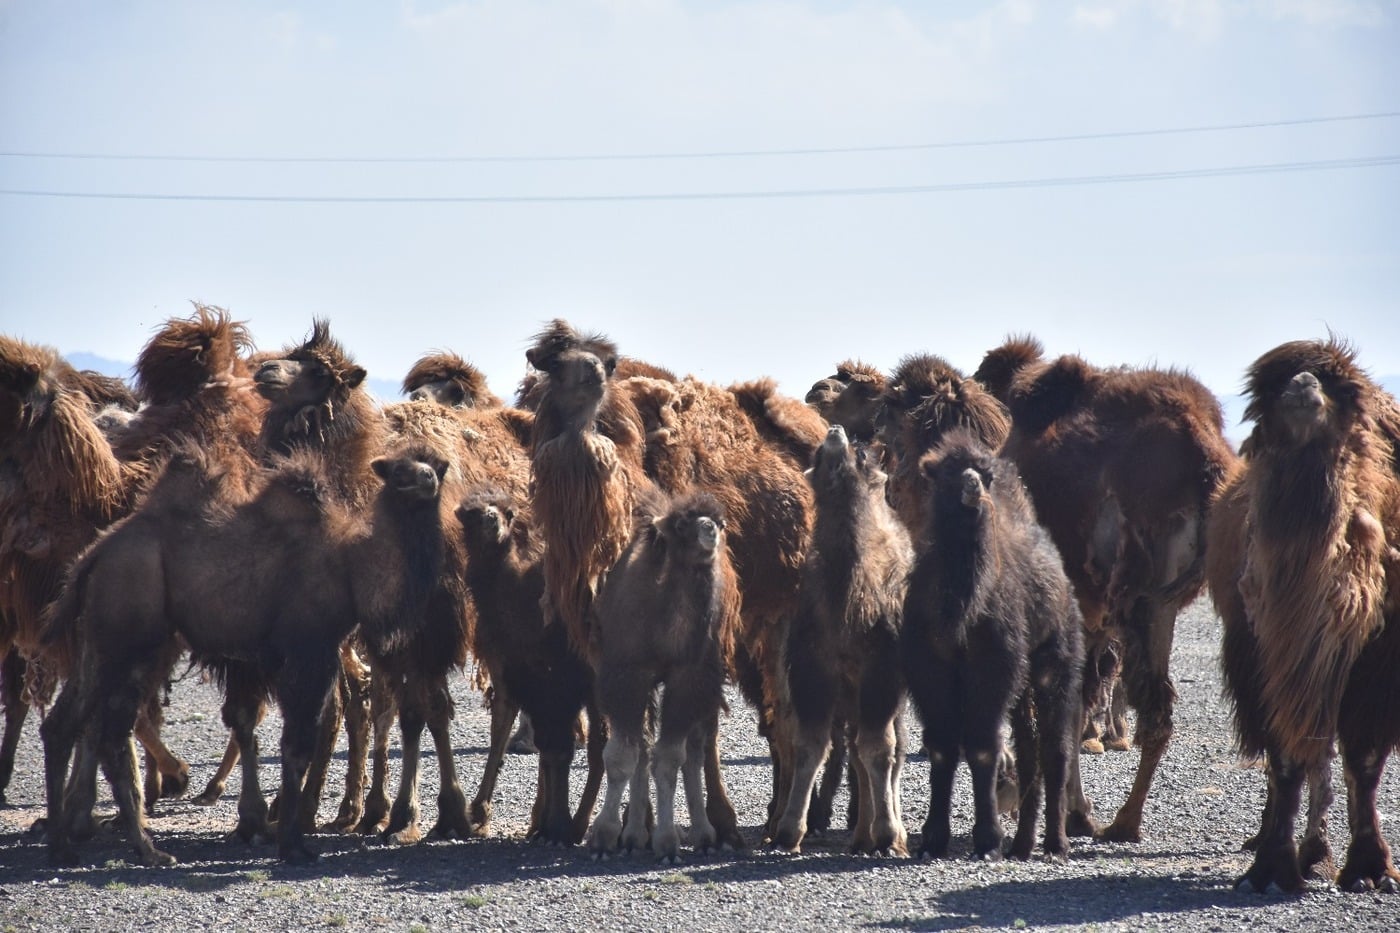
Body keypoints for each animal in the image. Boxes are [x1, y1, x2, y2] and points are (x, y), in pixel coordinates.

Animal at [587, 491, 742, 863]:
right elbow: (622, 756)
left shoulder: (690, 678)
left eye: (721, 522)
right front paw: (604, 837)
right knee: (643, 746)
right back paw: (632, 836)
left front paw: (668, 843)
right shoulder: (627, 674)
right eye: (682, 525)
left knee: (695, 749)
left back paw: (703, 834)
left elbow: (671, 758)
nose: (709, 530)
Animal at [773, 424, 912, 856]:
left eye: (861, 453)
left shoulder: (883, 669)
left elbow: (880, 747)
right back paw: (862, 834)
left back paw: (886, 833)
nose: (834, 430)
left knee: (888, 746)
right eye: (818, 455)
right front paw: (789, 829)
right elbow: (811, 744)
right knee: (856, 744)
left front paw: (887, 832)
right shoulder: (813, 665)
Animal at [903, 431, 1084, 861]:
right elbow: (941, 745)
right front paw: (933, 839)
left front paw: (987, 840)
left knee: (1056, 748)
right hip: (1022, 682)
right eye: (948, 471)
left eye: (983, 473)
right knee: (1030, 749)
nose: (972, 486)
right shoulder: (928, 663)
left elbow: (983, 746)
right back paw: (1023, 844)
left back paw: (1056, 844)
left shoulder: (994, 662)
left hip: (1057, 658)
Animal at [974, 338, 1236, 843]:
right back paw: (1126, 822)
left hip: (1136, 593)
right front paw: (1075, 811)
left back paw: (1122, 821)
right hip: (1162, 601)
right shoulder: (1089, 616)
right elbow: (1076, 704)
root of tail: (1205, 460)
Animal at [1208, 338, 1400, 894]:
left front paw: (1370, 870)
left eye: (1345, 393)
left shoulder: (1379, 658)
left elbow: (1363, 757)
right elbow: (1285, 755)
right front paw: (1270, 870)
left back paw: (1317, 853)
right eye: (1265, 398)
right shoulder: (1261, 650)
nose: (1303, 385)